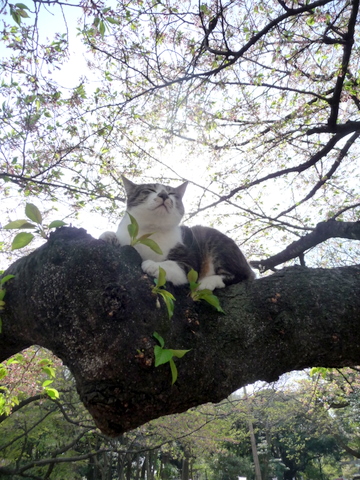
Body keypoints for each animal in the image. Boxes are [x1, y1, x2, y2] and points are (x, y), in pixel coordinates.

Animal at [100, 175, 255, 288]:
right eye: (150, 190)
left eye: (171, 193)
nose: (164, 195)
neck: (151, 231)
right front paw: (108, 236)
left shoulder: (189, 261)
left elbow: (175, 265)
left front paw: (153, 265)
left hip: (215, 241)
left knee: (240, 276)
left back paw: (208, 282)